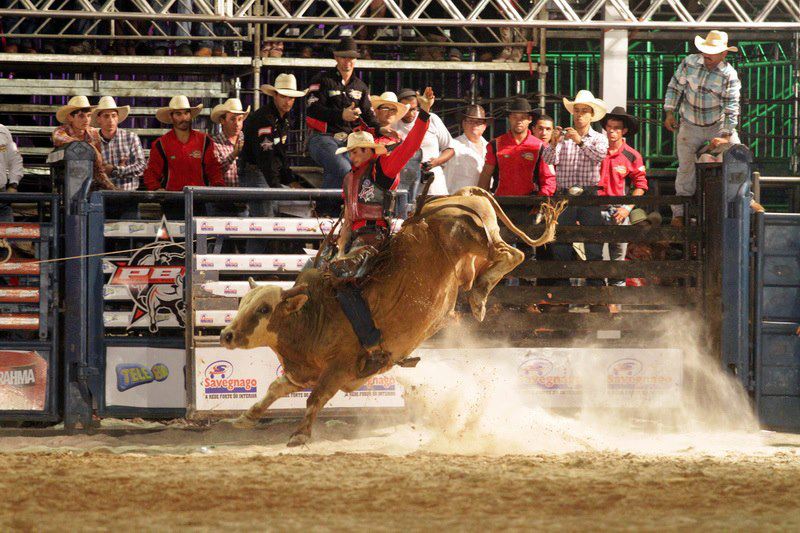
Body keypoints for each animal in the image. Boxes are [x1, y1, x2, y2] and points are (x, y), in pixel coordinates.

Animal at [220, 187, 564, 444]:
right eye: (242, 303)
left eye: (264, 309)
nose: (226, 335)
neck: (314, 317)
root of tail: (457, 195)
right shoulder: (302, 372)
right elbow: (274, 389)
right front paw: (246, 416)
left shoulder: (339, 370)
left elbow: (314, 399)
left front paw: (300, 435)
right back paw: (480, 292)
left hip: (472, 236)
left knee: (512, 253)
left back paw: (479, 296)